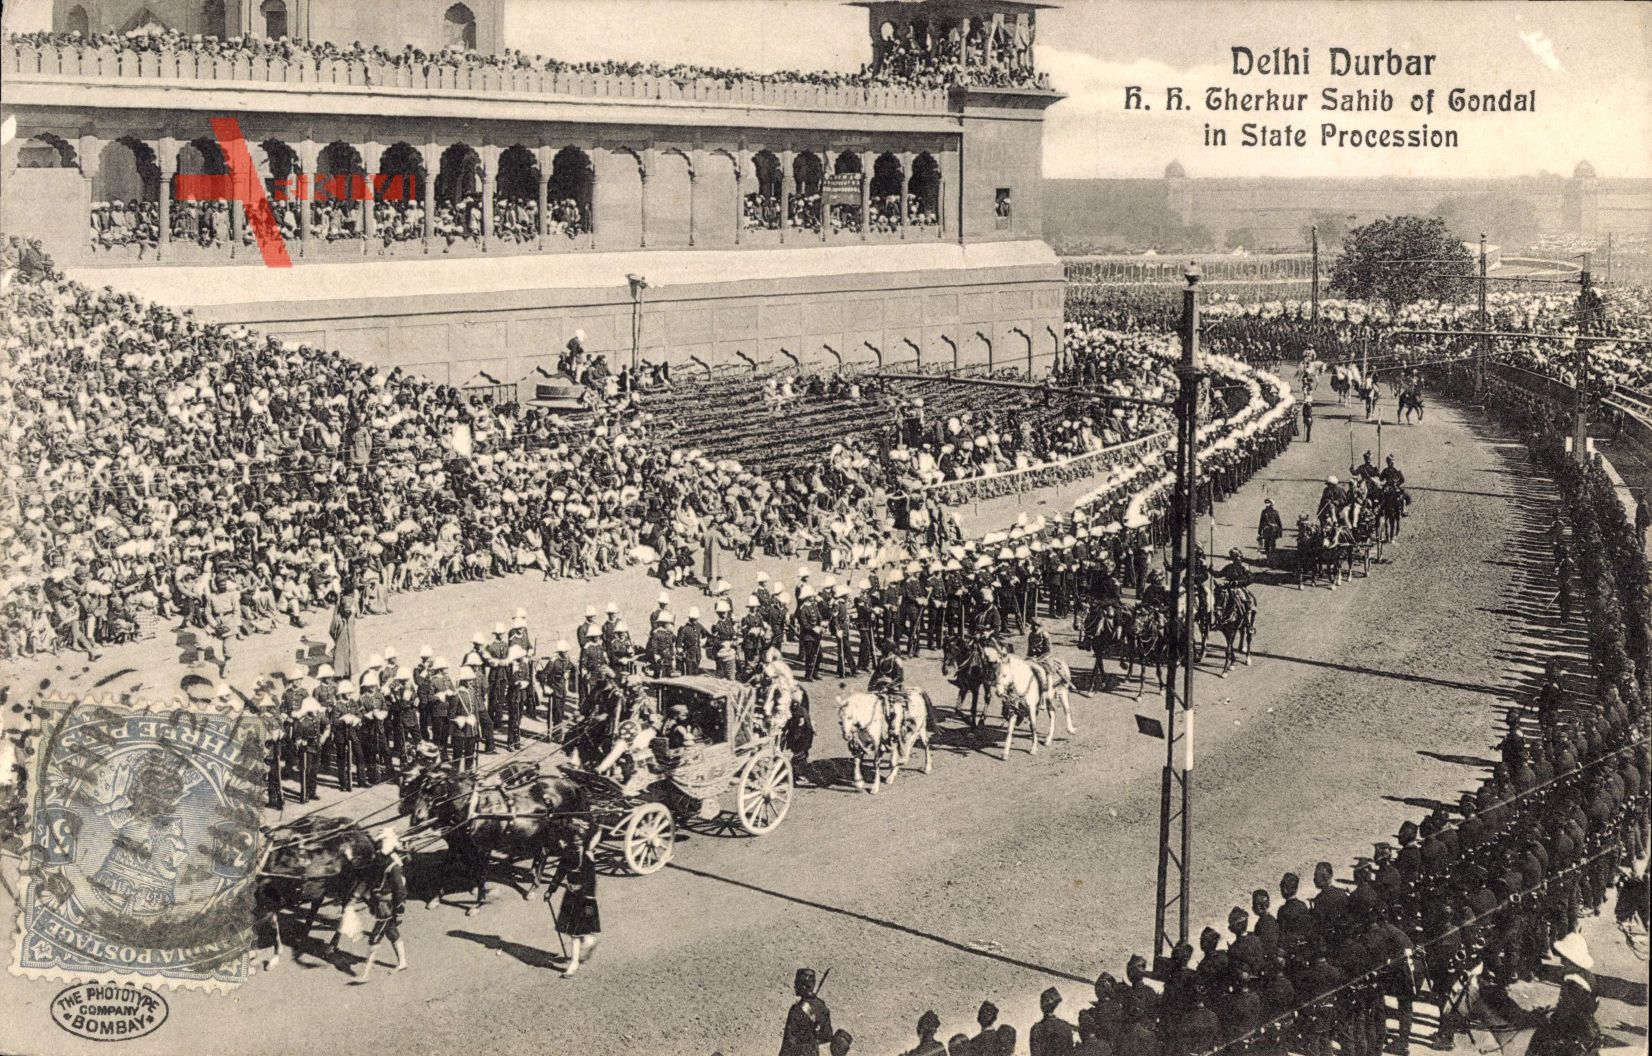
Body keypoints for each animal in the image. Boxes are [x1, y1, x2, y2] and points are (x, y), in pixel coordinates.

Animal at [404, 760, 588, 918]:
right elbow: (446, 868)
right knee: (542, 852)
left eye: (433, 786)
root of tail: (572, 785)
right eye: (419, 785)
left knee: (552, 852)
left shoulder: (483, 849)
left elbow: (481, 875)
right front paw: (436, 898)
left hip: (559, 828)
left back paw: (536, 887)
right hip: (541, 831)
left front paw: (477, 903)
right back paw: (534, 877)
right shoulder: (457, 846)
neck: (474, 808)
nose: (416, 817)